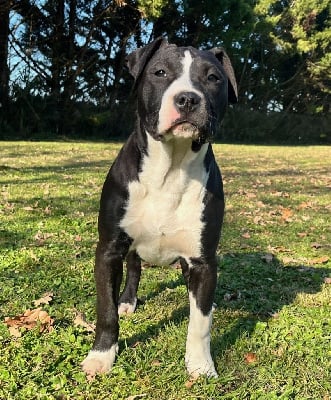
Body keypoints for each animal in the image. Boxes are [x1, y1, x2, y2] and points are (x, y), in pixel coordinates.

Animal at [81, 37, 237, 378]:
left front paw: (200, 365)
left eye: (213, 78)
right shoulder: (108, 249)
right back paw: (127, 301)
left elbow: (200, 323)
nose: (188, 99)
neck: (172, 167)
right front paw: (102, 355)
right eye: (160, 72)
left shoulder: (202, 260)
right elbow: (105, 309)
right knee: (134, 269)